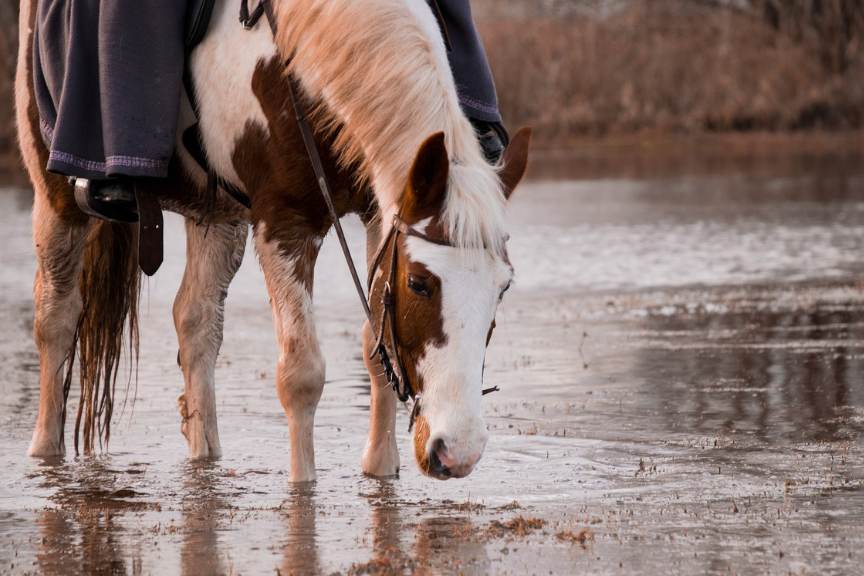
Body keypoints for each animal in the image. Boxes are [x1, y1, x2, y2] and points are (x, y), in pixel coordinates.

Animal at [15, 0, 531, 482]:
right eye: (420, 284)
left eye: (502, 288)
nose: (458, 451)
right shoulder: (284, 224)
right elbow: (301, 374)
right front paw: (303, 488)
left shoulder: (376, 209)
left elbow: (376, 344)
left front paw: (380, 469)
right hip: (56, 193)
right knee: (56, 319)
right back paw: (44, 452)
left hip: (217, 216)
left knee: (196, 321)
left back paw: (205, 454)